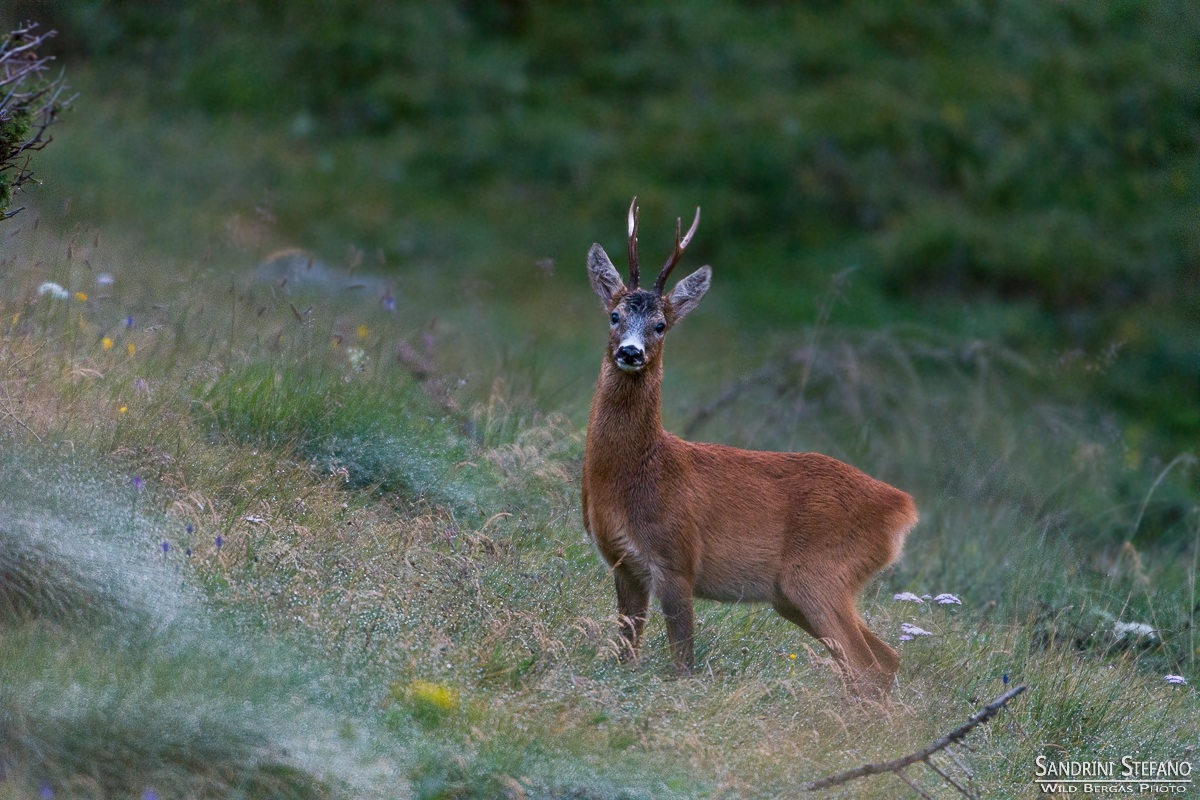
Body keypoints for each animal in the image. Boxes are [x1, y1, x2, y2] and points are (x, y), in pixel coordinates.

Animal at [581, 198, 918, 696]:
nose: (630, 352)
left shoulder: (677, 558)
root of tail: (901, 506)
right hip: (794, 595)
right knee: (887, 658)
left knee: (867, 665)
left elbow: (683, 658)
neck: (636, 473)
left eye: (661, 325)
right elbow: (626, 650)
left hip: (820, 574)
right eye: (614, 315)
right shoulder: (623, 563)